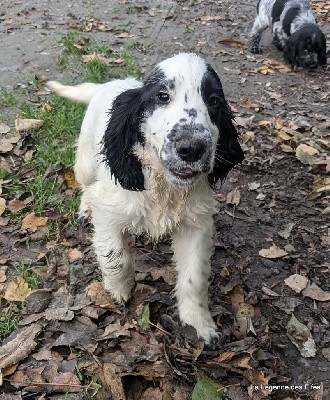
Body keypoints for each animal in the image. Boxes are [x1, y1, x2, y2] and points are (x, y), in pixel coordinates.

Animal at [45, 53, 245, 346]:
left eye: (214, 100)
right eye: (162, 96)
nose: (191, 149)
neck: (163, 186)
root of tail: (112, 83)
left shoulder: (196, 224)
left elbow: (195, 277)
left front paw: (198, 324)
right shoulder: (108, 213)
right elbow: (116, 257)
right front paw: (118, 290)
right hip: (85, 160)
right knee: (85, 184)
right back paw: (85, 207)